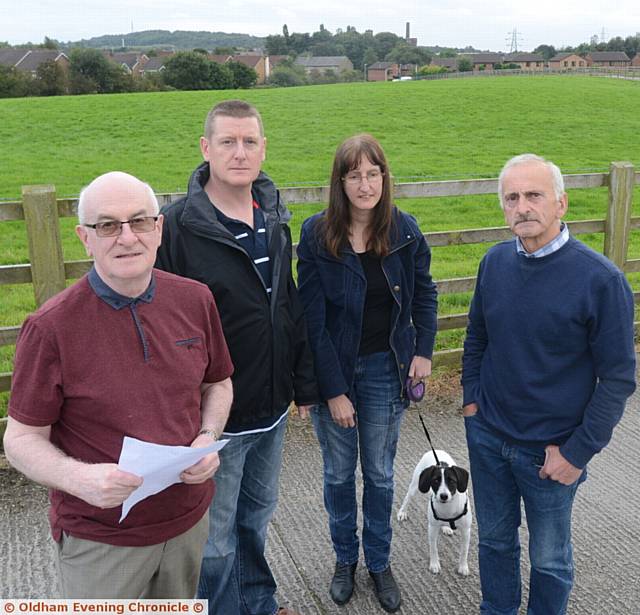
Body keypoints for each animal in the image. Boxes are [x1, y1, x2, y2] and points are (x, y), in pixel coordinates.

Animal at [398, 448, 472, 576]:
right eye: (436, 481)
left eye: (452, 481)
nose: (443, 496)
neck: (448, 508)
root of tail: (435, 450)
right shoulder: (432, 528)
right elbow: (433, 548)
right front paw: (434, 564)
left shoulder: (466, 531)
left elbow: (464, 551)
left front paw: (463, 567)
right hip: (415, 485)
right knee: (408, 497)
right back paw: (402, 512)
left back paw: (446, 527)